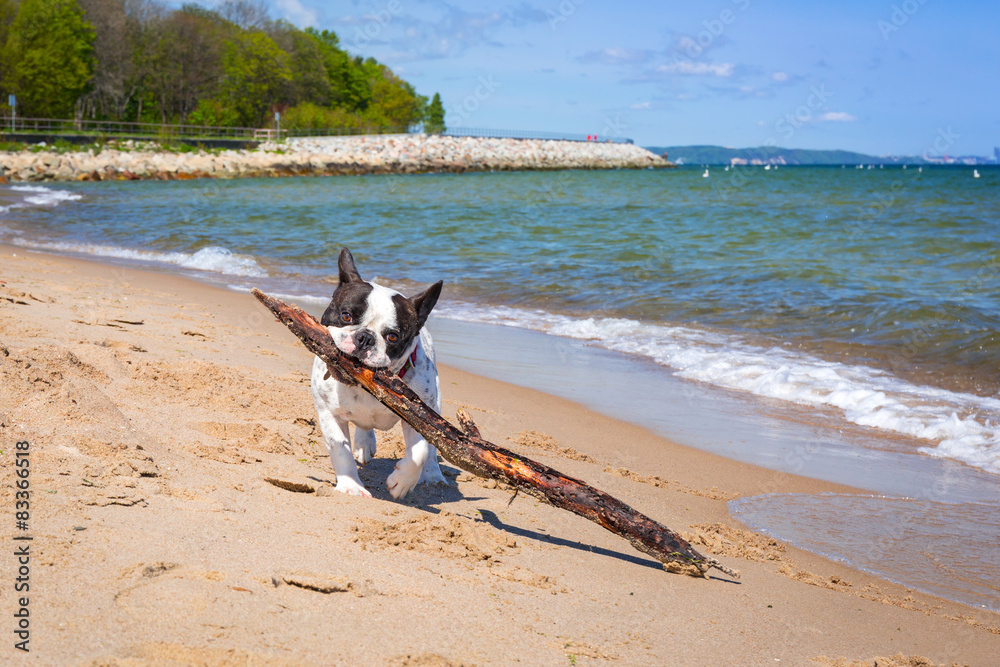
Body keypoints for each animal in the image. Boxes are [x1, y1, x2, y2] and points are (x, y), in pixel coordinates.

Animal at [310, 248, 448, 498]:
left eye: (392, 336)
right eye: (346, 316)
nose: (365, 337)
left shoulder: (420, 415)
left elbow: (420, 452)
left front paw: (402, 482)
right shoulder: (328, 412)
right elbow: (339, 447)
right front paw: (351, 486)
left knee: (434, 447)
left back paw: (433, 475)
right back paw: (363, 445)